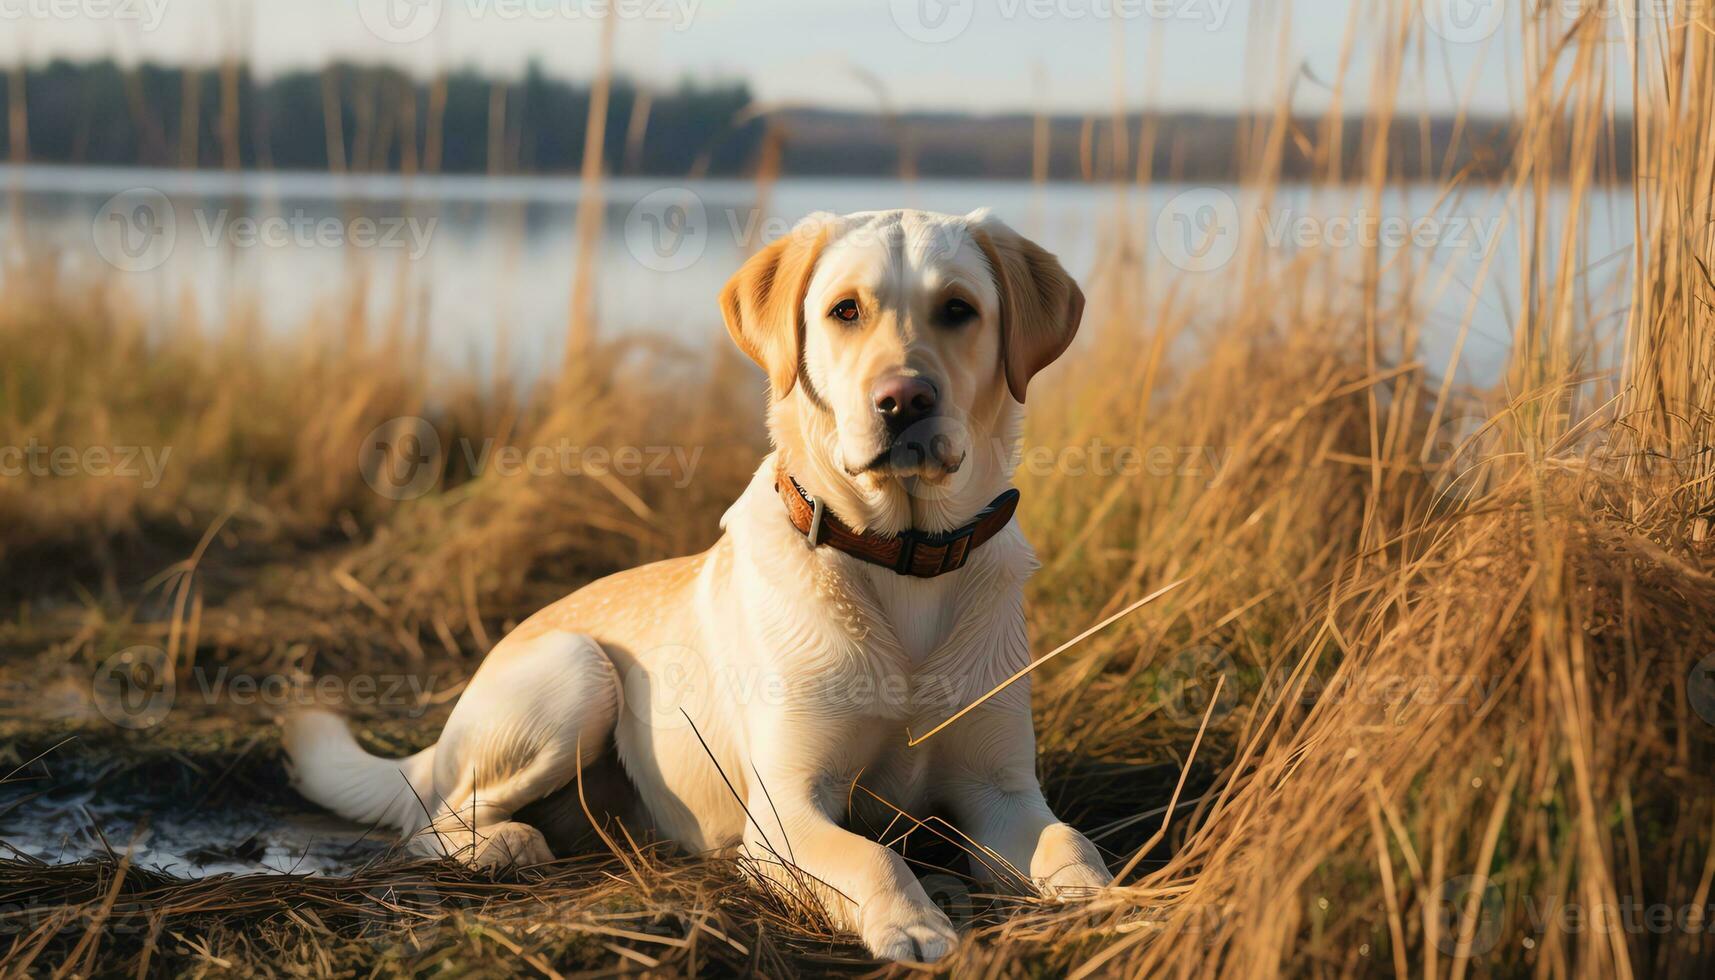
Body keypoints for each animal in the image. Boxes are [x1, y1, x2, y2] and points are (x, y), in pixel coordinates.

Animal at [281, 211, 1111, 961]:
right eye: (845, 310)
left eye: (958, 310)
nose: (903, 399)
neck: (898, 555)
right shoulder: (783, 812)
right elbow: (871, 853)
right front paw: (911, 925)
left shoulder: (1001, 791)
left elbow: (1069, 843)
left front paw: (1106, 902)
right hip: (577, 672)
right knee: (429, 820)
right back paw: (503, 844)